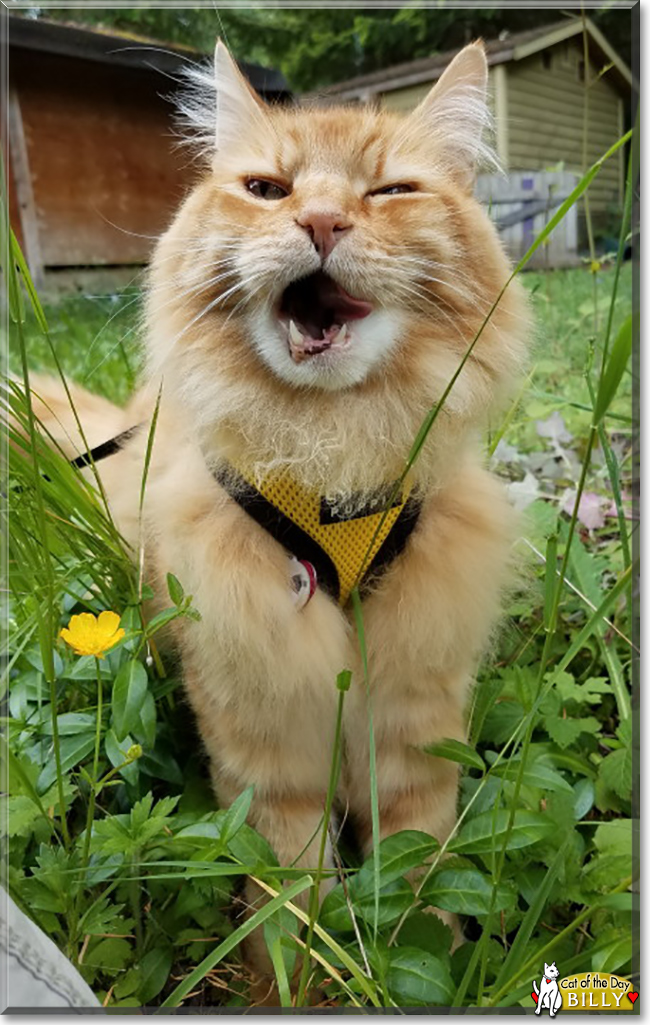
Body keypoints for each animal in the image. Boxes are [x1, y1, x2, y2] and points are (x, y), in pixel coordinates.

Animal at [29, 42, 524, 992]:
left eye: (389, 192)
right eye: (266, 189)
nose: (323, 222)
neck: (329, 457)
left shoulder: (416, 725)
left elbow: (421, 874)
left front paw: (429, 960)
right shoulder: (264, 741)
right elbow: (293, 904)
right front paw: (309, 984)